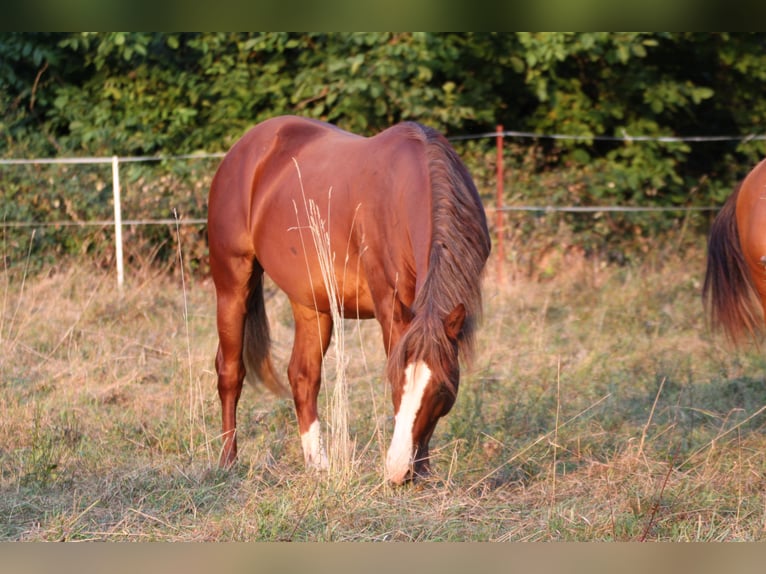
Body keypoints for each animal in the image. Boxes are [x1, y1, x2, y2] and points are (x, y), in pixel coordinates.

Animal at [207, 115, 492, 484]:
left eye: (443, 390)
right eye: (394, 381)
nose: (398, 472)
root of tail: (243, 149)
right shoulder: (391, 305)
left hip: (311, 303)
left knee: (303, 376)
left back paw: (318, 465)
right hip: (232, 283)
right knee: (230, 371)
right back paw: (228, 461)